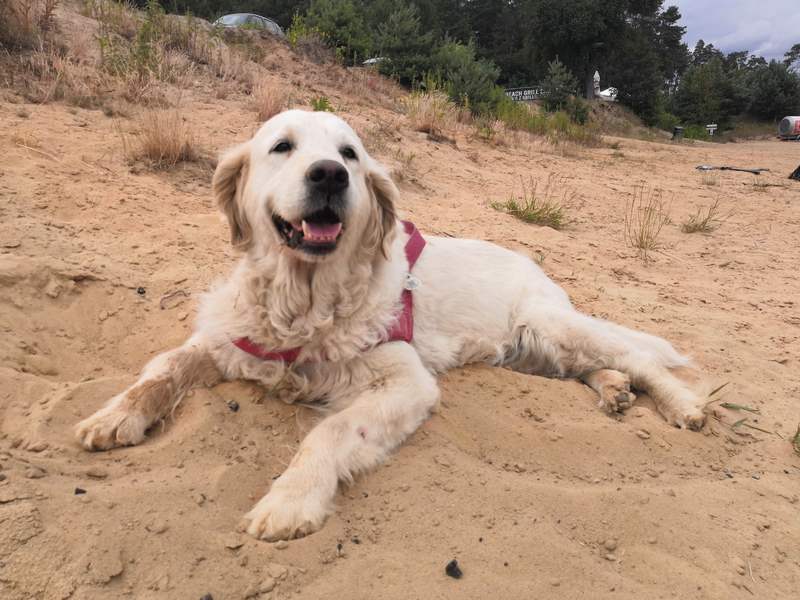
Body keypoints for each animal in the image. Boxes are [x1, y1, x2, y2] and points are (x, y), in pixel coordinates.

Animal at [75, 110, 704, 540]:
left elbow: (330, 431)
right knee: (595, 368)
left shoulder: (406, 382)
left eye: (349, 154)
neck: (306, 302)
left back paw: (681, 405)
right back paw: (614, 391)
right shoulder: (230, 338)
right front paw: (114, 416)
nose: (329, 175)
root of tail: (537, 265)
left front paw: (291, 501)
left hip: (552, 327)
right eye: (282, 146)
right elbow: (163, 368)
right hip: (534, 350)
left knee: (639, 357)